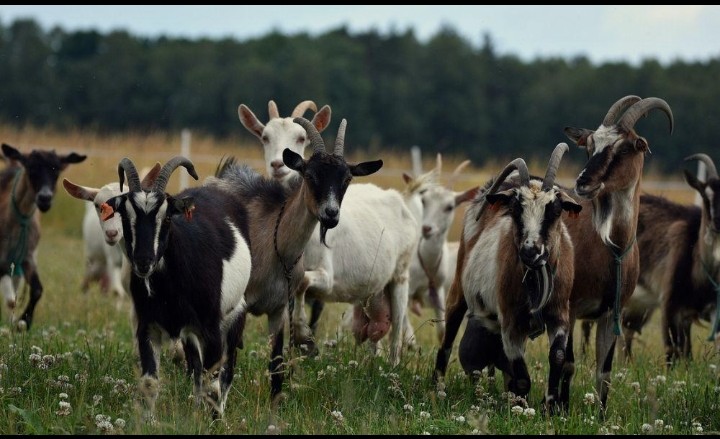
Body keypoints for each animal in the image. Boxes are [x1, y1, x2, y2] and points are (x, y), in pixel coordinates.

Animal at [0, 143, 86, 330]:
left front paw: (23, 322)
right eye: (31, 168)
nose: (45, 198)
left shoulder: (28, 256)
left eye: (56, 172)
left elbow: (37, 290)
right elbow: (10, 297)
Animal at [207, 117, 383, 402]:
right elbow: (228, 365)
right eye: (310, 175)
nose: (331, 214)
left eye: (346, 179)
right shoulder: (240, 305)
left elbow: (277, 366)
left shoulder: (279, 308)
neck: (276, 247)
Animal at [434, 144, 581, 411]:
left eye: (554, 210)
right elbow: (522, 378)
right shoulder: (511, 322)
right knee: (448, 339)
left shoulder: (559, 314)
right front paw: (521, 409)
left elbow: (558, 356)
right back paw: (436, 388)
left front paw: (550, 407)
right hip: (459, 288)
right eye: (515, 209)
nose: (530, 251)